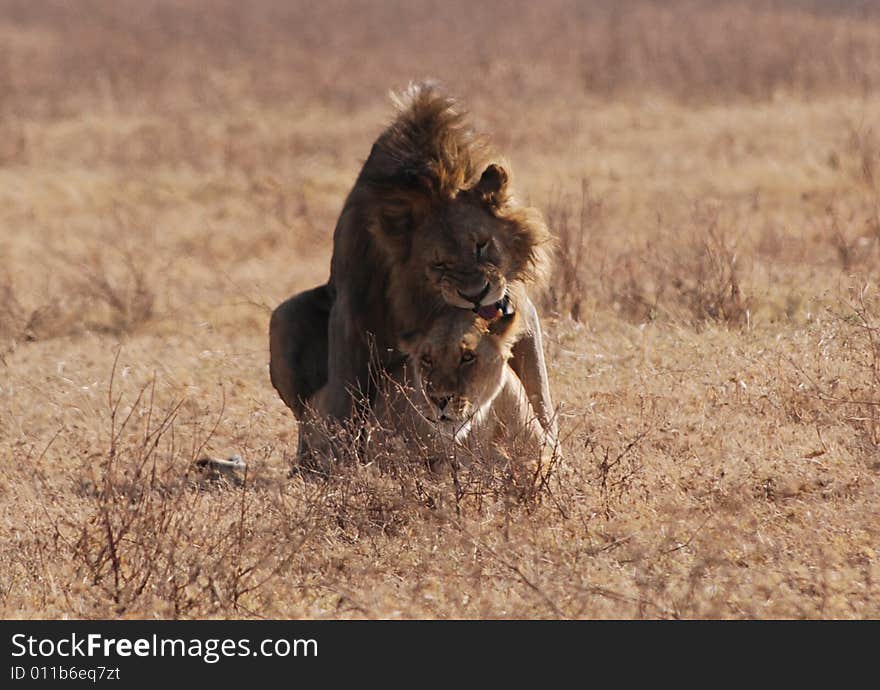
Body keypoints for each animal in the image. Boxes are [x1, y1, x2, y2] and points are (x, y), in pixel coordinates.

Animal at [268, 80, 556, 454]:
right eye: (439, 263)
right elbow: (345, 396)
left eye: (481, 245)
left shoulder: (517, 306)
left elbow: (537, 386)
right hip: (284, 316)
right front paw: (340, 457)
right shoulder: (351, 306)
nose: (476, 295)